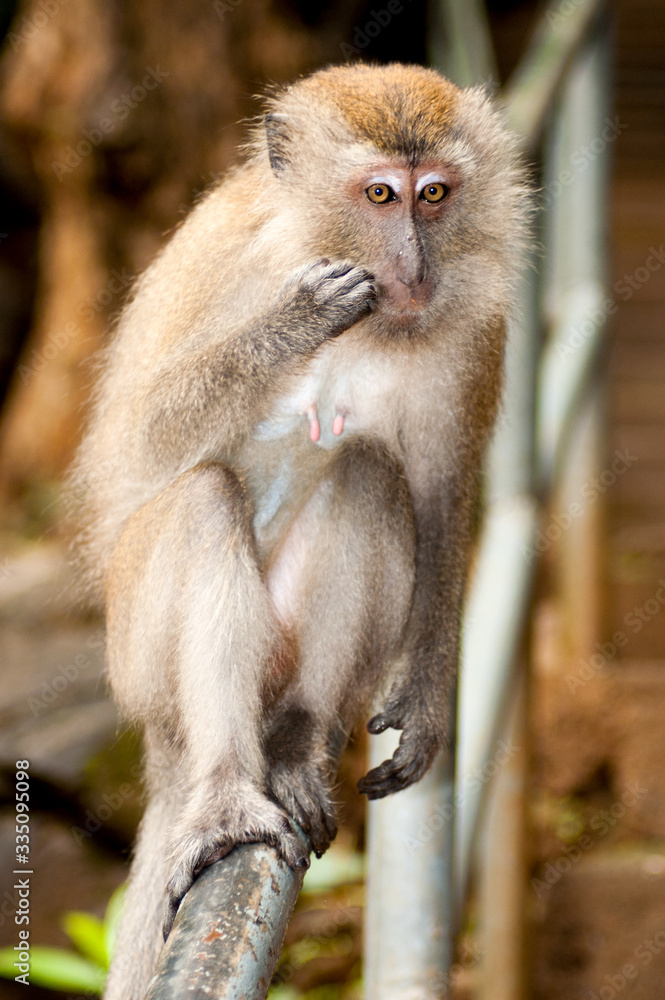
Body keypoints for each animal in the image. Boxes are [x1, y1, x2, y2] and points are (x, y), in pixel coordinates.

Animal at [67, 62, 530, 999]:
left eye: (434, 194)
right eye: (380, 194)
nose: (412, 265)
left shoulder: (475, 321)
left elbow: (440, 497)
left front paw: (427, 700)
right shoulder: (223, 257)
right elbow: (137, 442)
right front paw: (296, 321)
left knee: (370, 476)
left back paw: (299, 736)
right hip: (136, 666)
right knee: (203, 499)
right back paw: (224, 794)